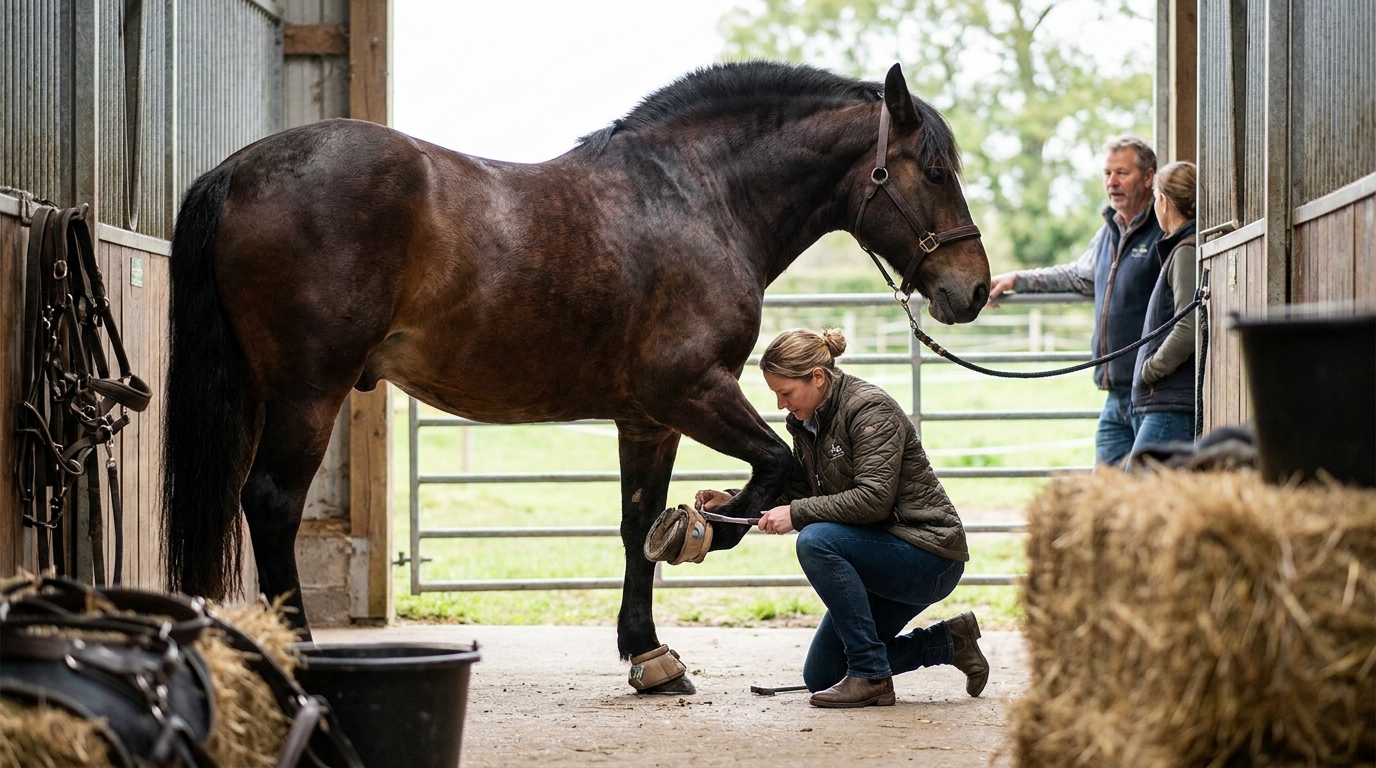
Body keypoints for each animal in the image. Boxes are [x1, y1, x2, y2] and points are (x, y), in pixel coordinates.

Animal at [162, 60, 989, 693]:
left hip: (258, 392)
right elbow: (778, 465)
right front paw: (701, 533)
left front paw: (649, 652)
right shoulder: (689, 391)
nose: (973, 289)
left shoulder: (647, 420)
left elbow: (634, 523)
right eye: (936, 170)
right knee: (272, 503)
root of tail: (236, 172)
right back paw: (297, 652)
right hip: (309, 392)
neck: (698, 197)